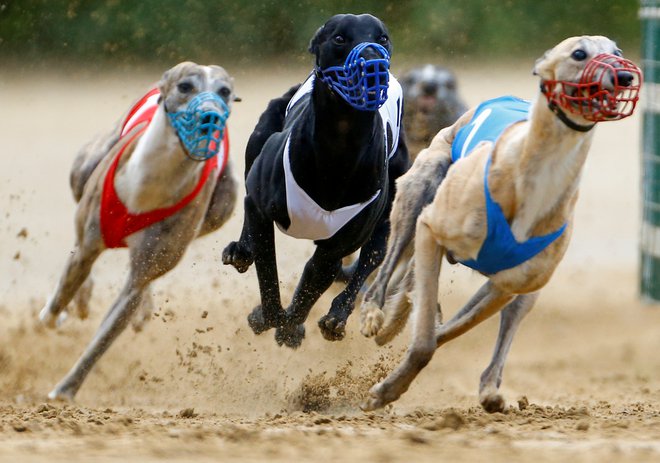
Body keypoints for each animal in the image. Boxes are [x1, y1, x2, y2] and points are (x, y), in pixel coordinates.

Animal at [39, 62, 240, 402]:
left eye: (224, 91)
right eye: (185, 86)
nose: (211, 117)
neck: (154, 180)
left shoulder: (140, 275)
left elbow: (104, 338)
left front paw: (64, 391)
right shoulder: (88, 244)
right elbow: (60, 298)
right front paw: (54, 316)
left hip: (220, 207)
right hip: (85, 169)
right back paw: (81, 298)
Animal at [222, 13, 408, 348]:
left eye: (383, 38)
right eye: (339, 38)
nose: (373, 61)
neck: (341, 145)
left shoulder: (335, 246)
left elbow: (310, 286)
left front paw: (288, 326)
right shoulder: (261, 209)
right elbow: (268, 275)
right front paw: (268, 318)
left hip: (388, 218)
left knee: (369, 262)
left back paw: (336, 318)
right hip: (258, 139)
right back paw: (241, 250)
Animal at [358, 37, 640, 414]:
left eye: (618, 53)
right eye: (579, 54)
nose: (624, 75)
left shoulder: (506, 286)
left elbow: (440, 332)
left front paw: (392, 381)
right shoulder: (431, 227)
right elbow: (425, 338)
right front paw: (384, 389)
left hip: (527, 292)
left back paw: (489, 387)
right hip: (419, 191)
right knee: (390, 270)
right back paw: (375, 314)